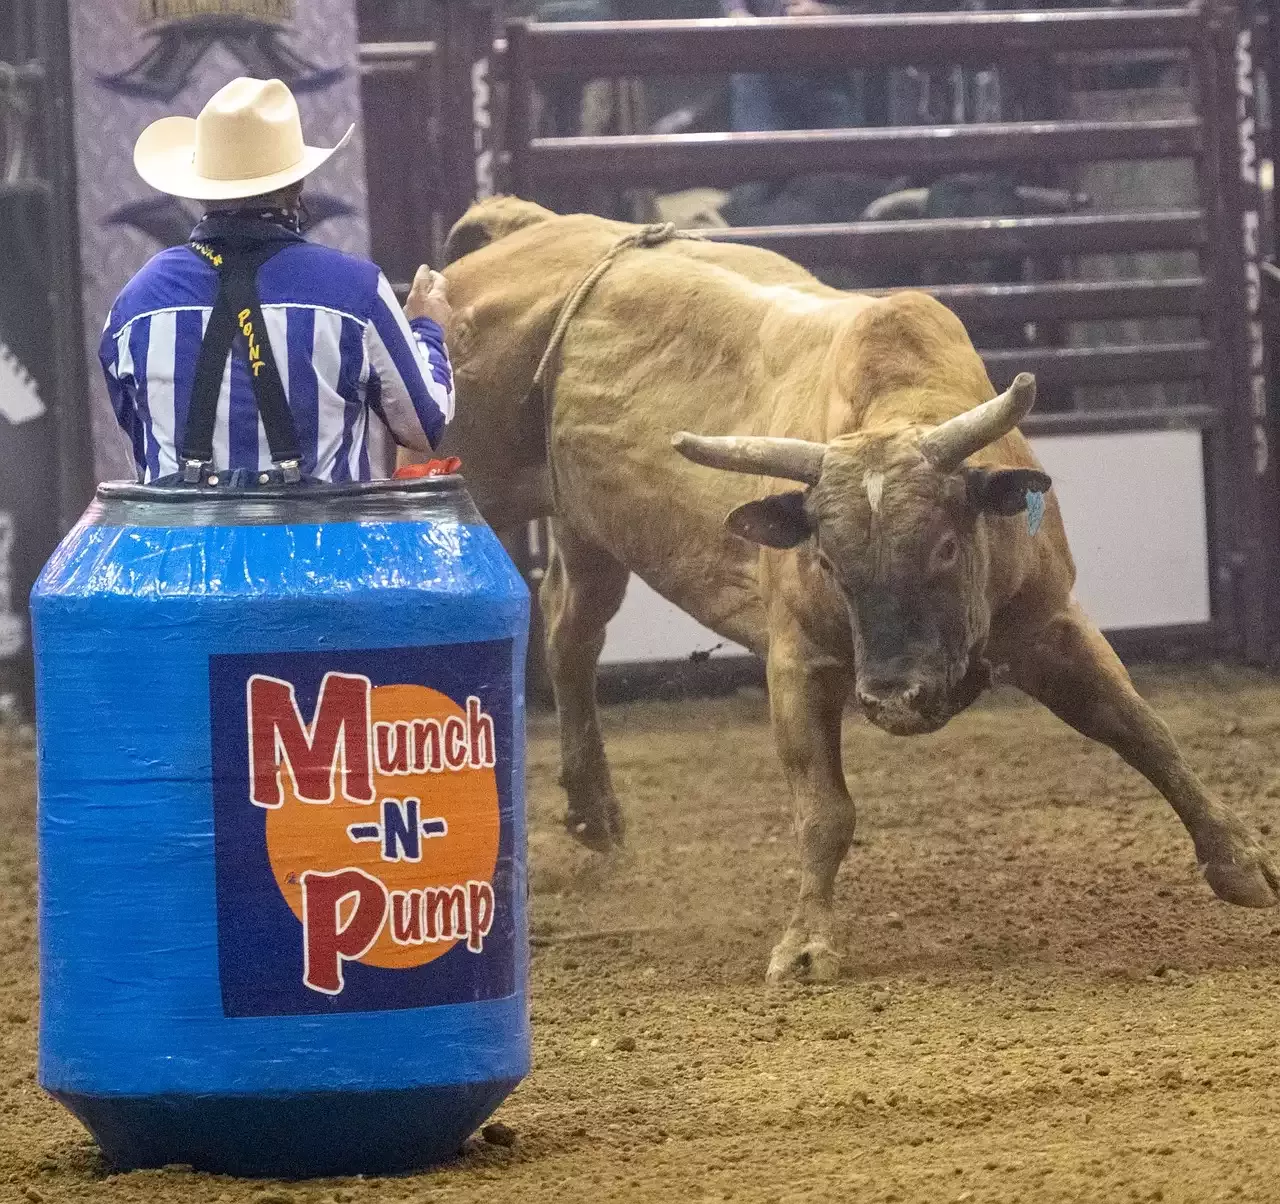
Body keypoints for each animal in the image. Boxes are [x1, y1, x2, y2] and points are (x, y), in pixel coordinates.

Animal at [424, 197, 1274, 982]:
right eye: (829, 563)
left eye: (944, 545)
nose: (893, 699)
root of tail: (527, 228)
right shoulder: (799, 662)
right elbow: (824, 810)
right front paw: (805, 944)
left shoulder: (1048, 623)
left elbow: (1140, 730)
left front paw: (1241, 862)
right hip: (477, 480)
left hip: (589, 524)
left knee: (571, 629)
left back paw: (593, 810)